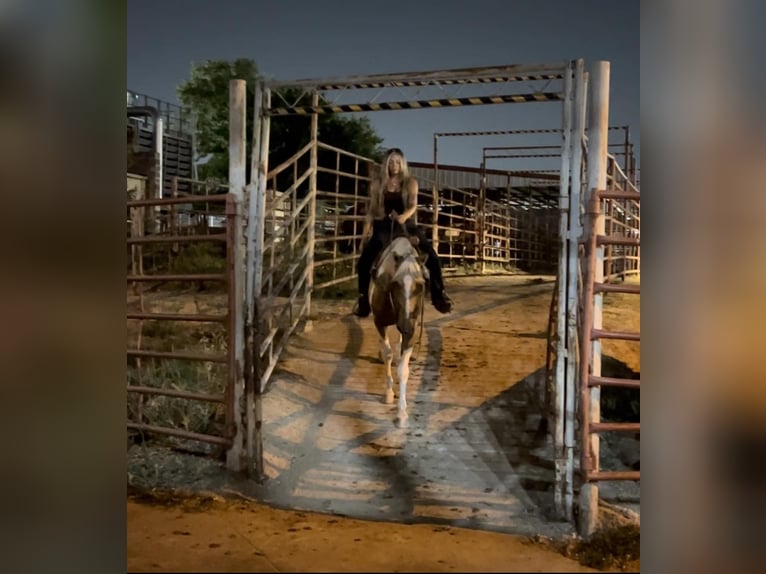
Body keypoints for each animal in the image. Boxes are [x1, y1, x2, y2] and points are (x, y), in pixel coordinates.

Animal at [370, 233, 428, 428]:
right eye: (395, 284)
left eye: (420, 285)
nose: (405, 325)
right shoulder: (379, 323)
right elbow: (387, 354)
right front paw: (388, 394)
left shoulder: (412, 330)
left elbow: (403, 369)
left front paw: (401, 414)